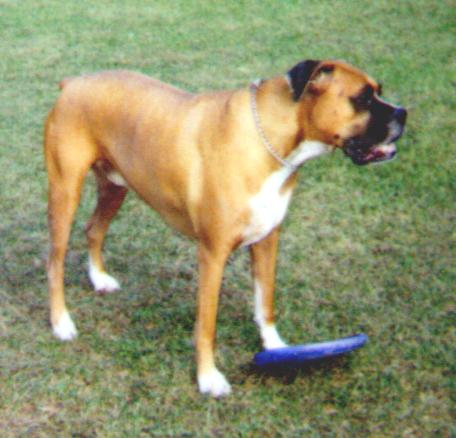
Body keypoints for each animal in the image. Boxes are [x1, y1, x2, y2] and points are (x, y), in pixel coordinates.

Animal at [43, 59, 406, 396]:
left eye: (379, 91)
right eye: (363, 99)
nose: (403, 112)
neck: (271, 140)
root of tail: (73, 82)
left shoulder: (267, 241)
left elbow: (265, 302)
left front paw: (276, 348)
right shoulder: (213, 254)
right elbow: (207, 325)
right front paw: (208, 378)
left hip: (115, 187)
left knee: (93, 229)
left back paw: (99, 279)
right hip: (65, 192)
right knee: (55, 261)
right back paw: (61, 322)